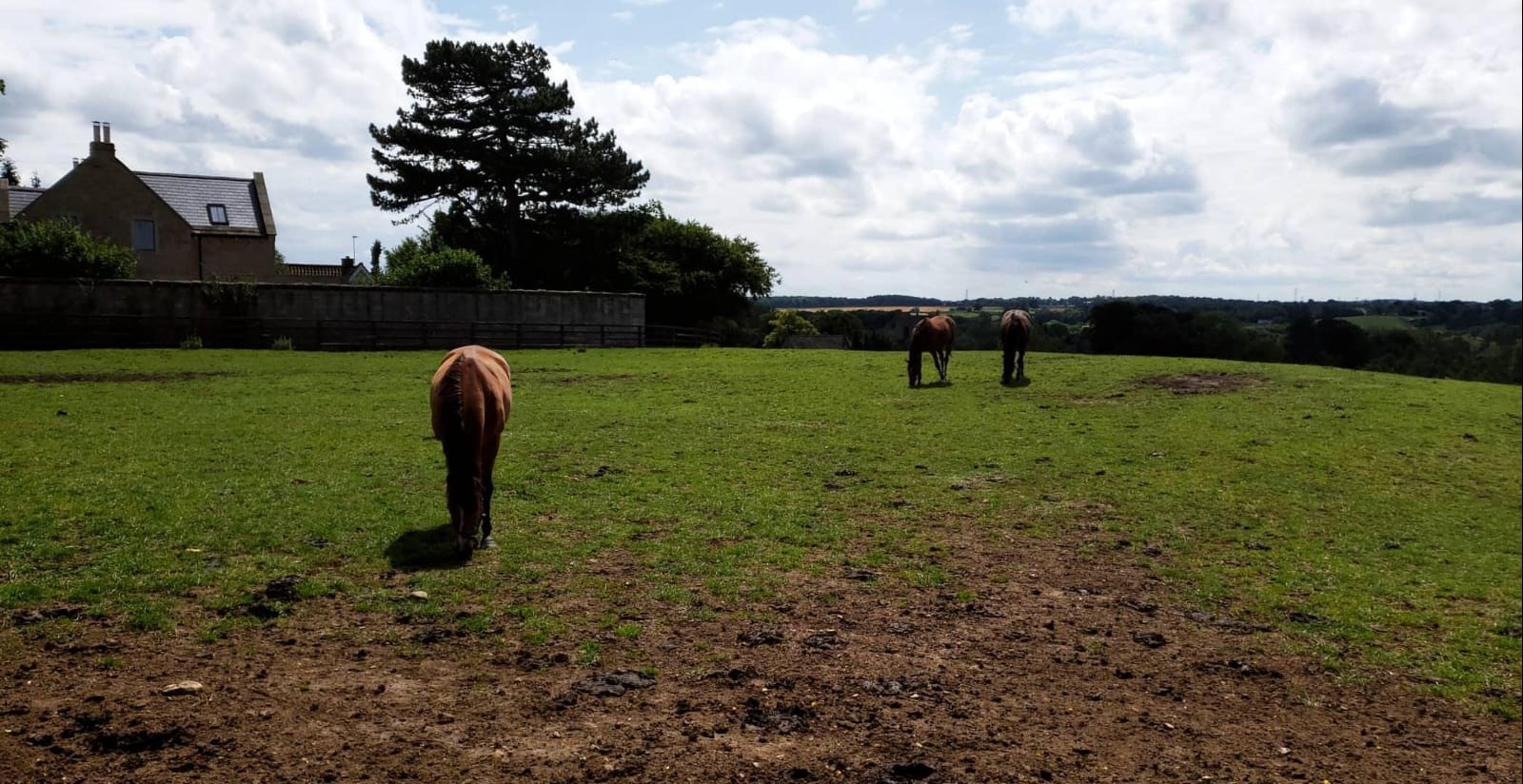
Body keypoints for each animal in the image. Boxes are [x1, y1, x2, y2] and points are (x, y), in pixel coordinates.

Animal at [430, 345, 513, 554]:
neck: (469, 385)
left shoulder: (492, 441)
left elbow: (487, 486)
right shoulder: (446, 441)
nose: (463, 547)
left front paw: (488, 535)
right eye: (451, 506)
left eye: (475, 507)